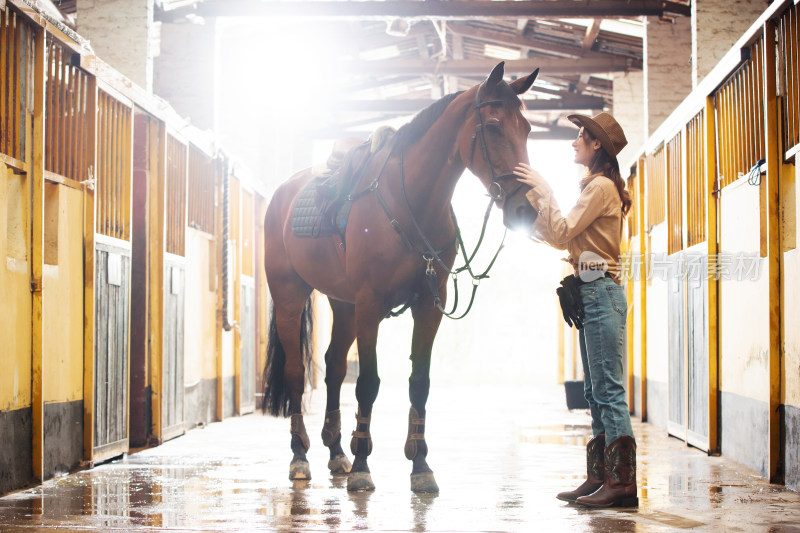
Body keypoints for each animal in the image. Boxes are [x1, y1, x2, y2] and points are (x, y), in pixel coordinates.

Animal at [266, 61, 540, 490]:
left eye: (527, 128)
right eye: (494, 127)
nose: (526, 209)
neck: (410, 199)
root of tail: (283, 193)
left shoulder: (428, 303)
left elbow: (419, 383)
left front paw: (420, 465)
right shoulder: (370, 303)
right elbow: (368, 384)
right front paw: (363, 465)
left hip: (343, 305)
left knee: (333, 367)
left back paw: (337, 453)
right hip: (291, 296)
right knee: (297, 371)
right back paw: (300, 456)